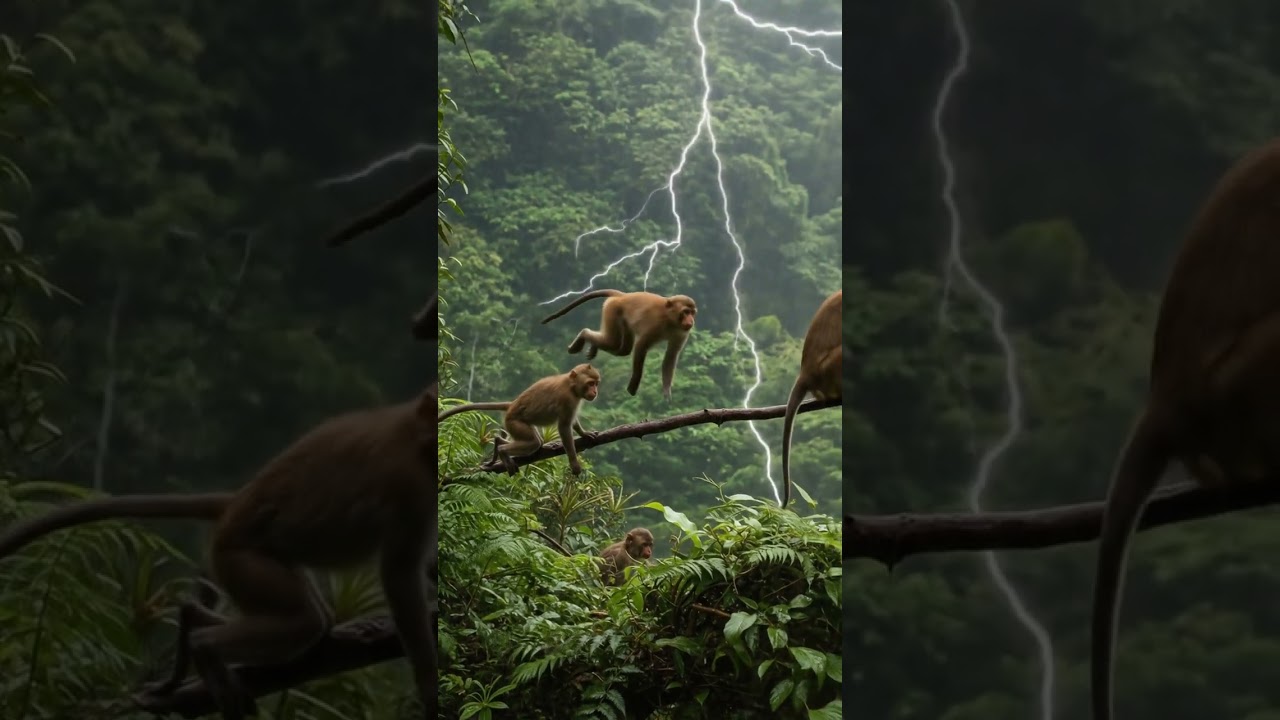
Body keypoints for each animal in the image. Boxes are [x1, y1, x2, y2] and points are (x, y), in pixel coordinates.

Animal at [0, 386, 439, 720]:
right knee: (305, 621)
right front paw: (430, 687)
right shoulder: (411, 483)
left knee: (312, 620)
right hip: (238, 557)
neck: (412, 430)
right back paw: (204, 645)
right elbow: (399, 574)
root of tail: (235, 504)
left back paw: (192, 620)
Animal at [437, 363, 601, 476]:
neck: (571, 385)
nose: (595, 392)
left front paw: (584, 433)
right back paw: (502, 450)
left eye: (596, 383)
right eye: (590, 383)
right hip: (513, 422)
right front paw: (574, 463)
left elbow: (572, 422)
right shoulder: (567, 399)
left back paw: (499, 442)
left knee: (536, 442)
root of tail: (512, 405)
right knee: (534, 442)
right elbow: (564, 427)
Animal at [540, 290, 696, 400]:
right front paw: (633, 385)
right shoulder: (656, 325)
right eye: (685, 312)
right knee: (613, 342)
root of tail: (623, 296)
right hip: (612, 310)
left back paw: (594, 346)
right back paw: (584, 335)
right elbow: (641, 346)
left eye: (692, 313)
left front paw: (666, 391)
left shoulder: (682, 332)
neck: (670, 320)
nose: (691, 321)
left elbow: (671, 356)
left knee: (622, 349)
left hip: (623, 321)